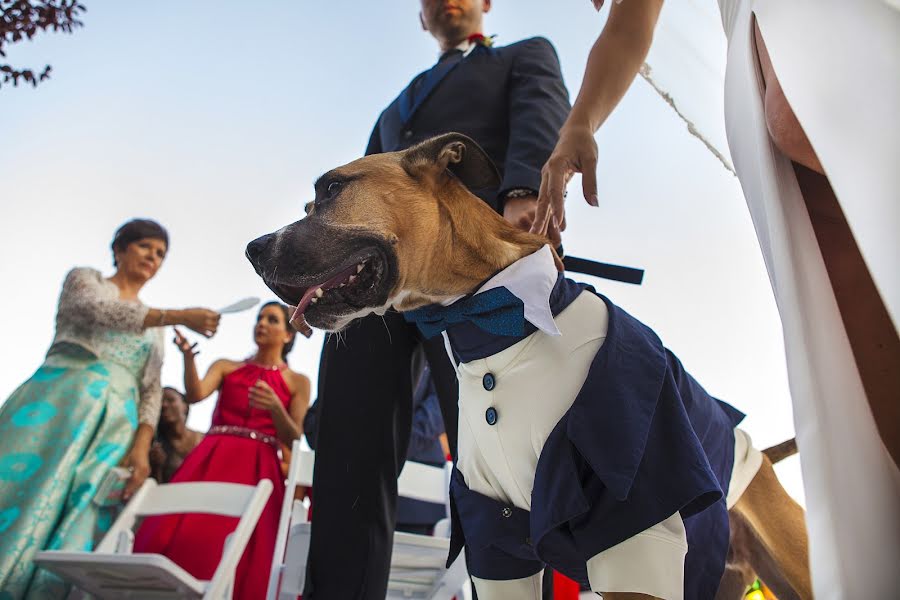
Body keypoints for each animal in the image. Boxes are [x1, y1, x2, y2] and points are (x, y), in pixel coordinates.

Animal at [248, 134, 816, 596]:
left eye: (331, 189)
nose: (252, 248)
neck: (489, 316)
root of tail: (759, 455)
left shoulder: (634, 532)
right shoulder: (495, 540)